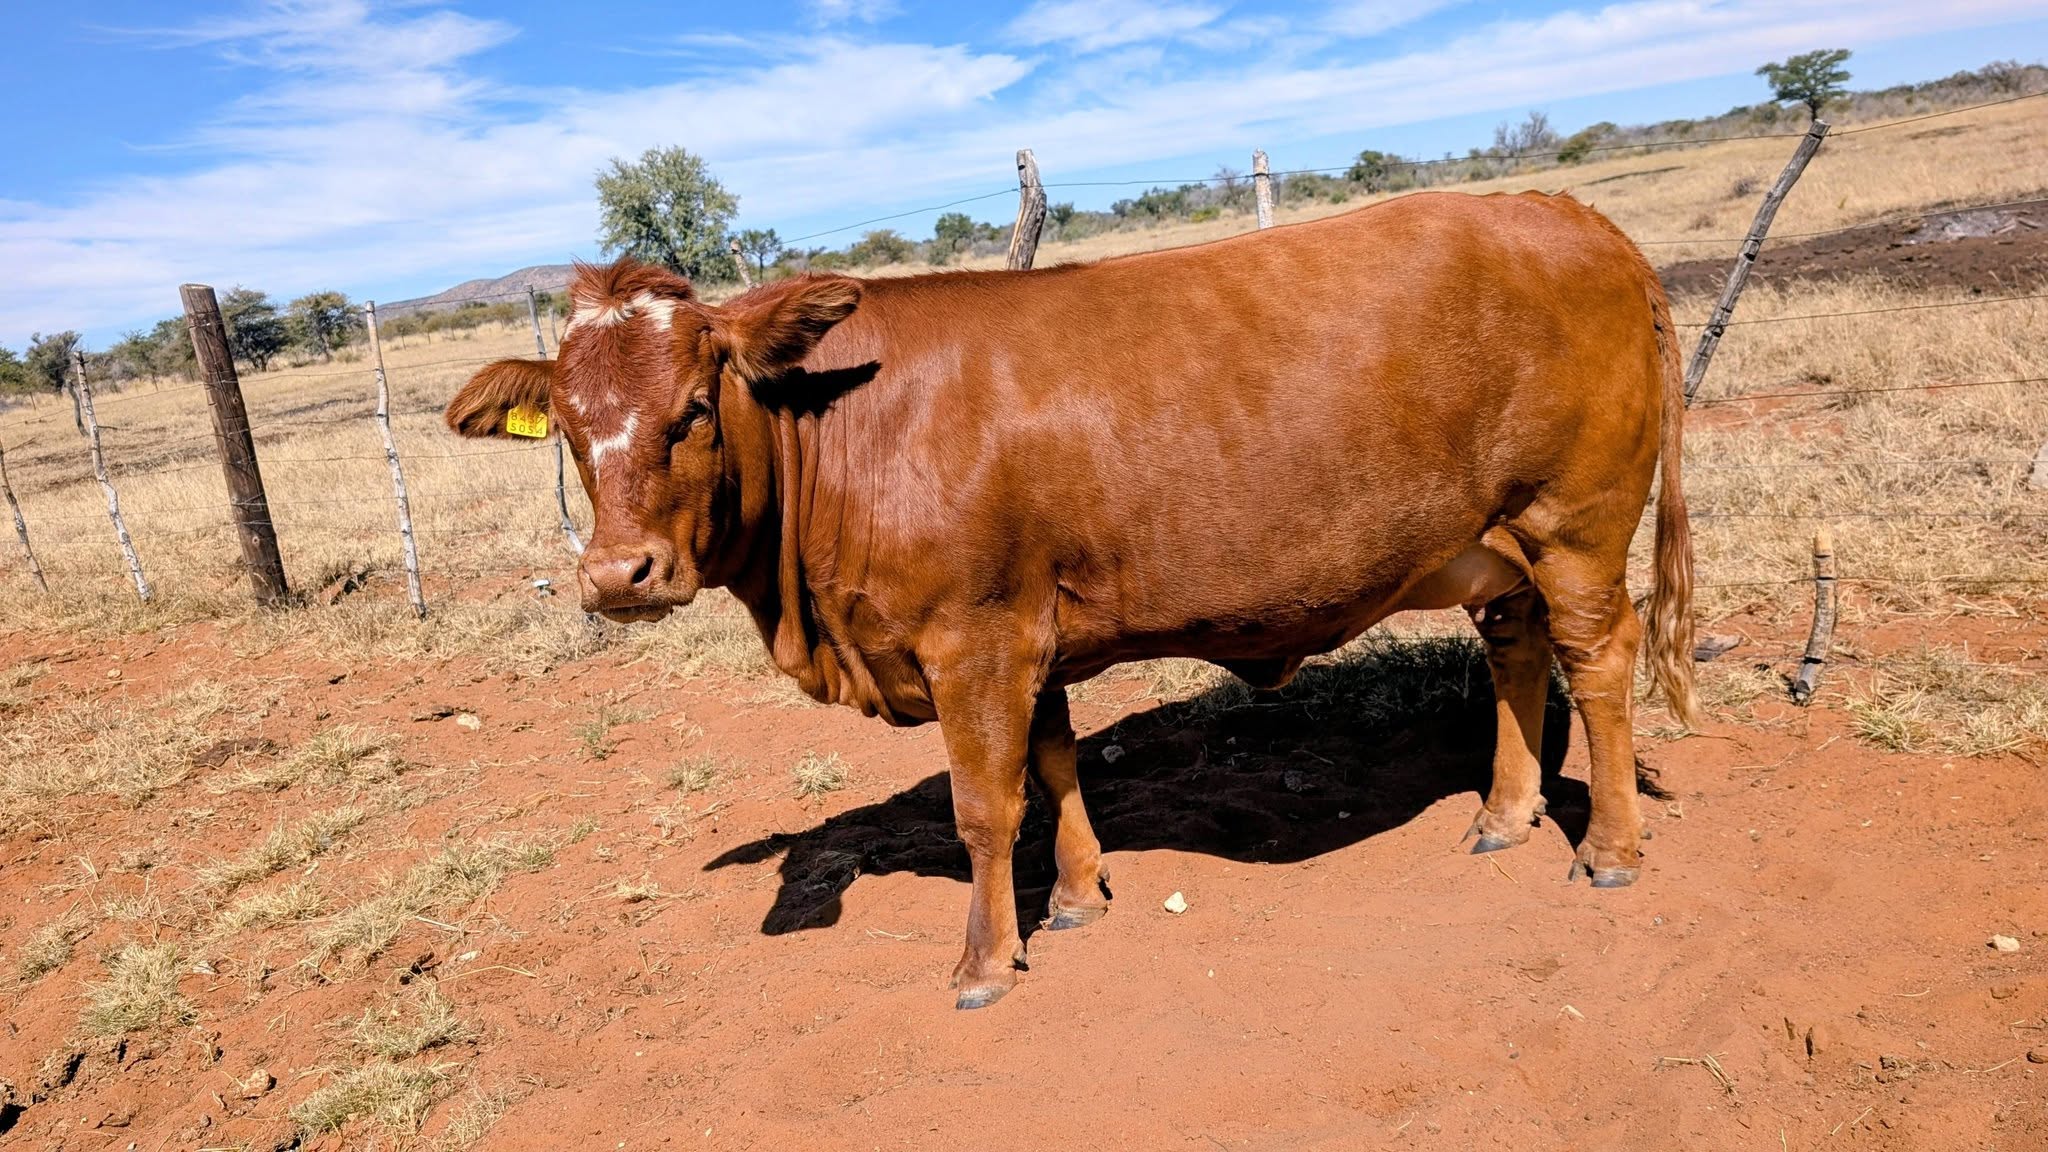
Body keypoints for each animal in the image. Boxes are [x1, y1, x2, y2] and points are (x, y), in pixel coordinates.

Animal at [445, 190, 1698, 1009]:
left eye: (696, 407)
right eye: (566, 427)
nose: (618, 576)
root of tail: (1568, 212)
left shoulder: (970, 639)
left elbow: (983, 807)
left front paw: (984, 961)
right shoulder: (1022, 631)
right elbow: (1051, 770)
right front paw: (1079, 897)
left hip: (1576, 522)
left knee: (1598, 660)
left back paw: (1609, 848)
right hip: (1496, 541)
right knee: (1514, 650)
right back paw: (1503, 812)